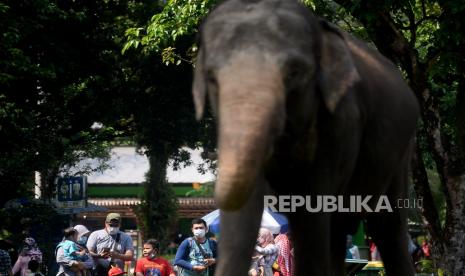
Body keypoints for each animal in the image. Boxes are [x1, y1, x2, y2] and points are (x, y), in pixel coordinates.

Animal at [192, 0, 420, 276]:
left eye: (294, 72)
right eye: (211, 77)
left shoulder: (340, 124)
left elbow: (312, 213)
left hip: (402, 154)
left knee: (387, 228)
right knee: (339, 228)